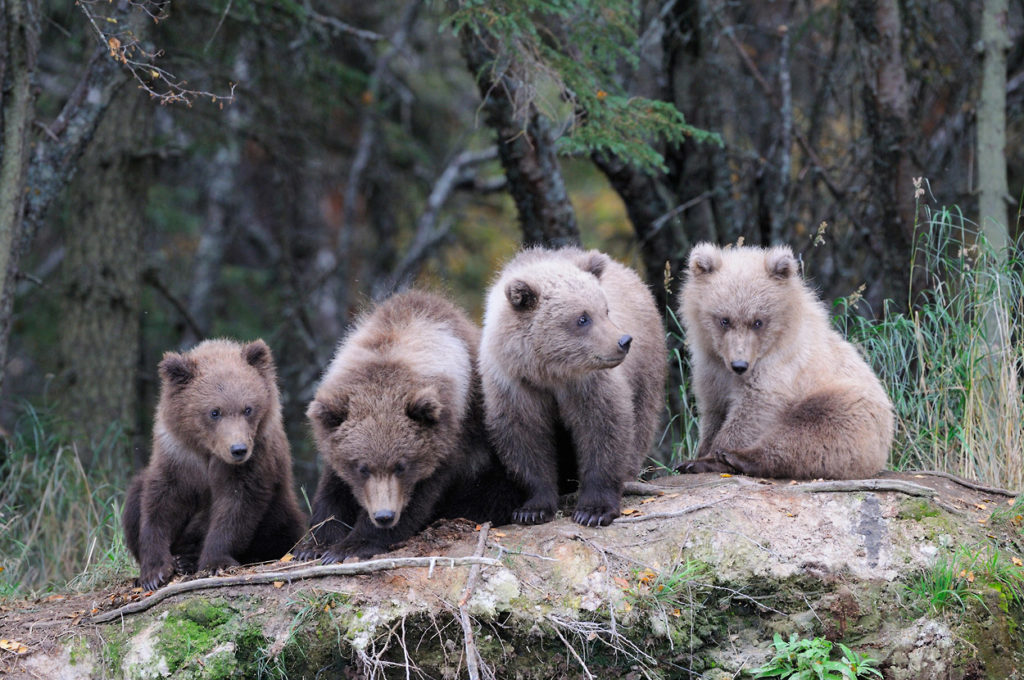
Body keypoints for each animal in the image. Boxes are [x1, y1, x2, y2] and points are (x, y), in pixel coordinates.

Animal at [120, 340, 303, 589]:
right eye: (214, 412)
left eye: (248, 408)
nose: (238, 449)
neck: (208, 451)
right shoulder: (178, 457)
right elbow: (160, 503)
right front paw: (154, 572)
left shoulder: (254, 460)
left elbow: (236, 505)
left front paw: (215, 562)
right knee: (134, 497)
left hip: (280, 509)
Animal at [296, 288, 520, 561]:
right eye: (362, 468)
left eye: (401, 465)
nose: (384, 516)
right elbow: (333, 489)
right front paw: (314, 546)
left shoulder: (449, 443)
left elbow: (419, 498)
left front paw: (351, 546)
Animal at [477, 246, 663, 528]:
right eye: (582, 318)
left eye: (605, 310)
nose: (623, 340)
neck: (548, 372)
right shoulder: (515, 386)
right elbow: (524, 438)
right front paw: (532, 509)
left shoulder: (587, 383)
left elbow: (603, 428)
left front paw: (593, 510)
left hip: (646, 365)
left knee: (641, 419)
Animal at [679, 242, 897, 477]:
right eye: (724, 320)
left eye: (758, 321)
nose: (740, 365)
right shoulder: (711, 368)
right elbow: (713, 410)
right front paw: (699, 452)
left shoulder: (780, 368)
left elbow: (752, 410)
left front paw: (711, 456)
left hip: (846, 405)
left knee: (809, 433)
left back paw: (739, 458)